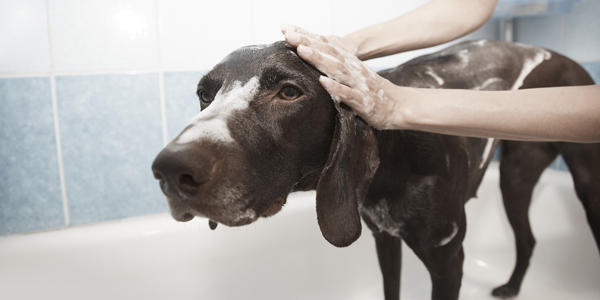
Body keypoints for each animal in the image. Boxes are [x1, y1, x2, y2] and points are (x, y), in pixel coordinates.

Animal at [152, 40, 596, 300]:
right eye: (205, 94)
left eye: (289, 92)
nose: (170, 170)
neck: (395, 158)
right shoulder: (385, 239)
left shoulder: (448, 262)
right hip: (515, 178)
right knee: (528, 239)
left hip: (575, 185)